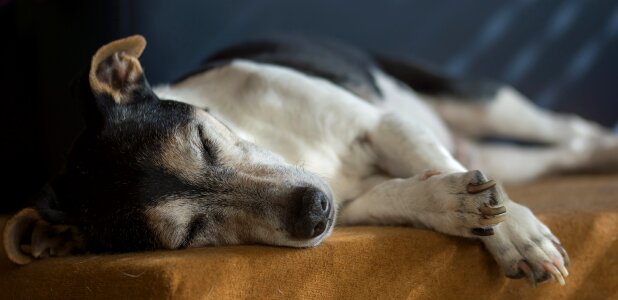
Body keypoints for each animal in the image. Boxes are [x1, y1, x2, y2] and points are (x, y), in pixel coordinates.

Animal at [6, 34, 616, 286]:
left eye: (203, 139)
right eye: (190, 235)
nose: (315, 210)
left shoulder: (385, 125)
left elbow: (452, 173)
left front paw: (515, 235)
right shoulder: (360, 202)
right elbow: (411, 193)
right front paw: (453, 204)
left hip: (481, 102)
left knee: (570, 129)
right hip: (507, 157)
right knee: (564, 151)